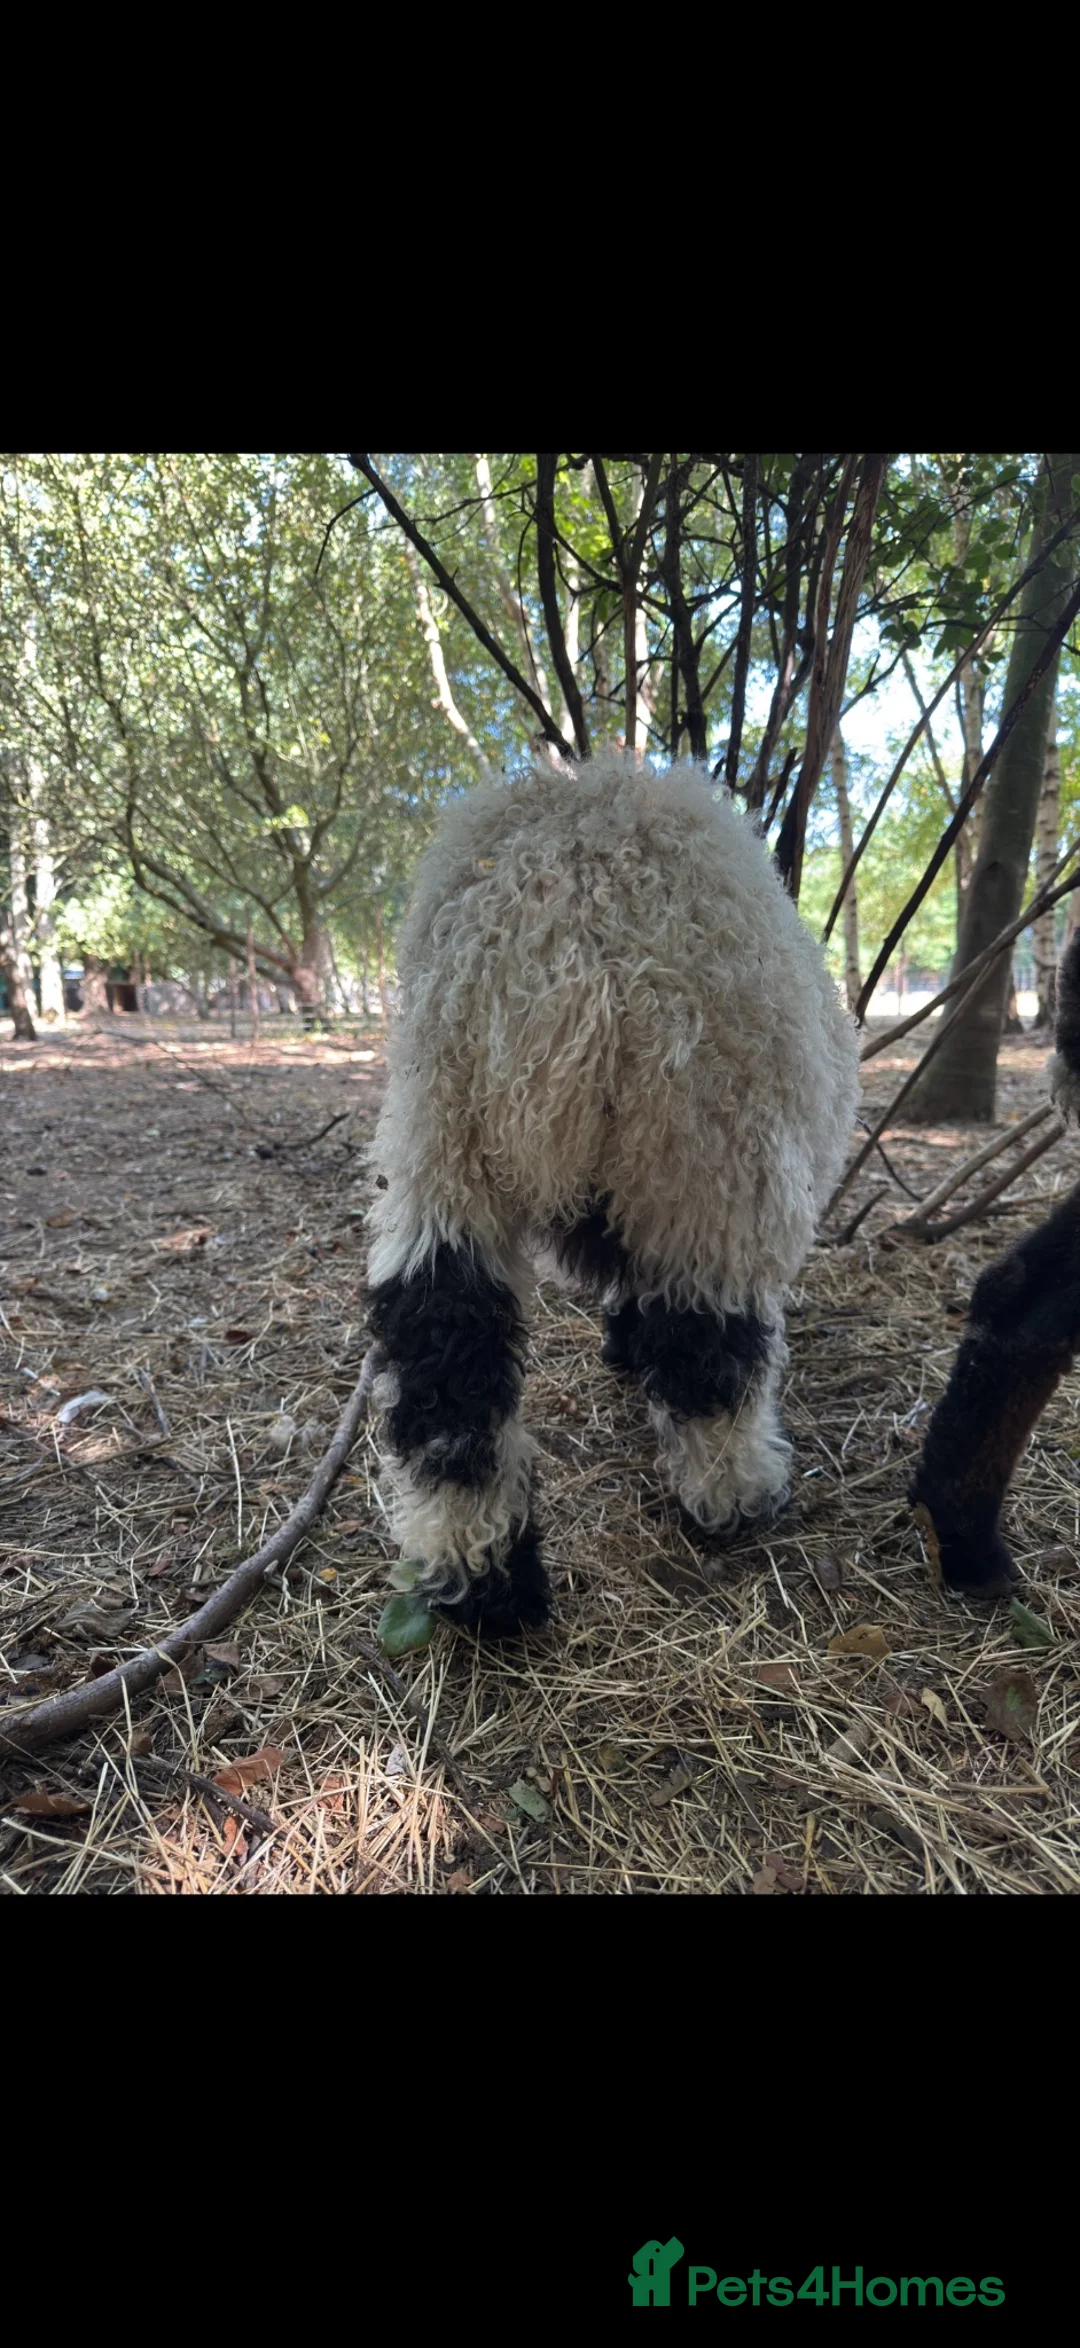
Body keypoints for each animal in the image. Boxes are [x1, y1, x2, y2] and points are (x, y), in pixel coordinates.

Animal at [365, 747, 860, 1638]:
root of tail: (571, 897)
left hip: (441, 1124)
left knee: (443, 1347)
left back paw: (484, 1581)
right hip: (711, 1142)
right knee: (711, 1347)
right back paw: (737, 1497)